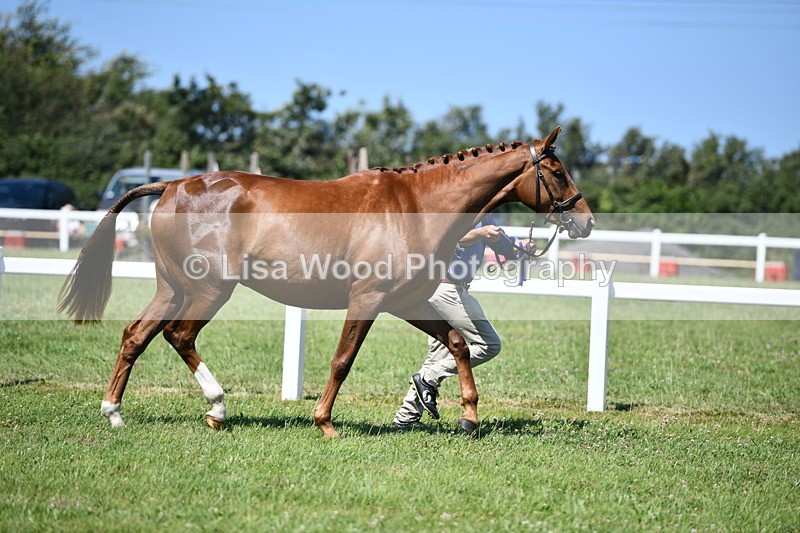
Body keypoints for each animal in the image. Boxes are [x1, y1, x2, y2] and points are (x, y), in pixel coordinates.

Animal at [58, 126, 594, 437]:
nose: (586, 221)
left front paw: (468, 416)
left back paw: (113, 412)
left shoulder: (406, 302)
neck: (417, 206)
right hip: (209, 290)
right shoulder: (368, 300)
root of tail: (171, 185)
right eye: (558, 172)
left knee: (136, 336)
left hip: (173, 288)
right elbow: (342, 361)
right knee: (178, 335)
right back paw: (217, 409)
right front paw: (324, 423)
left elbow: (459, 344)